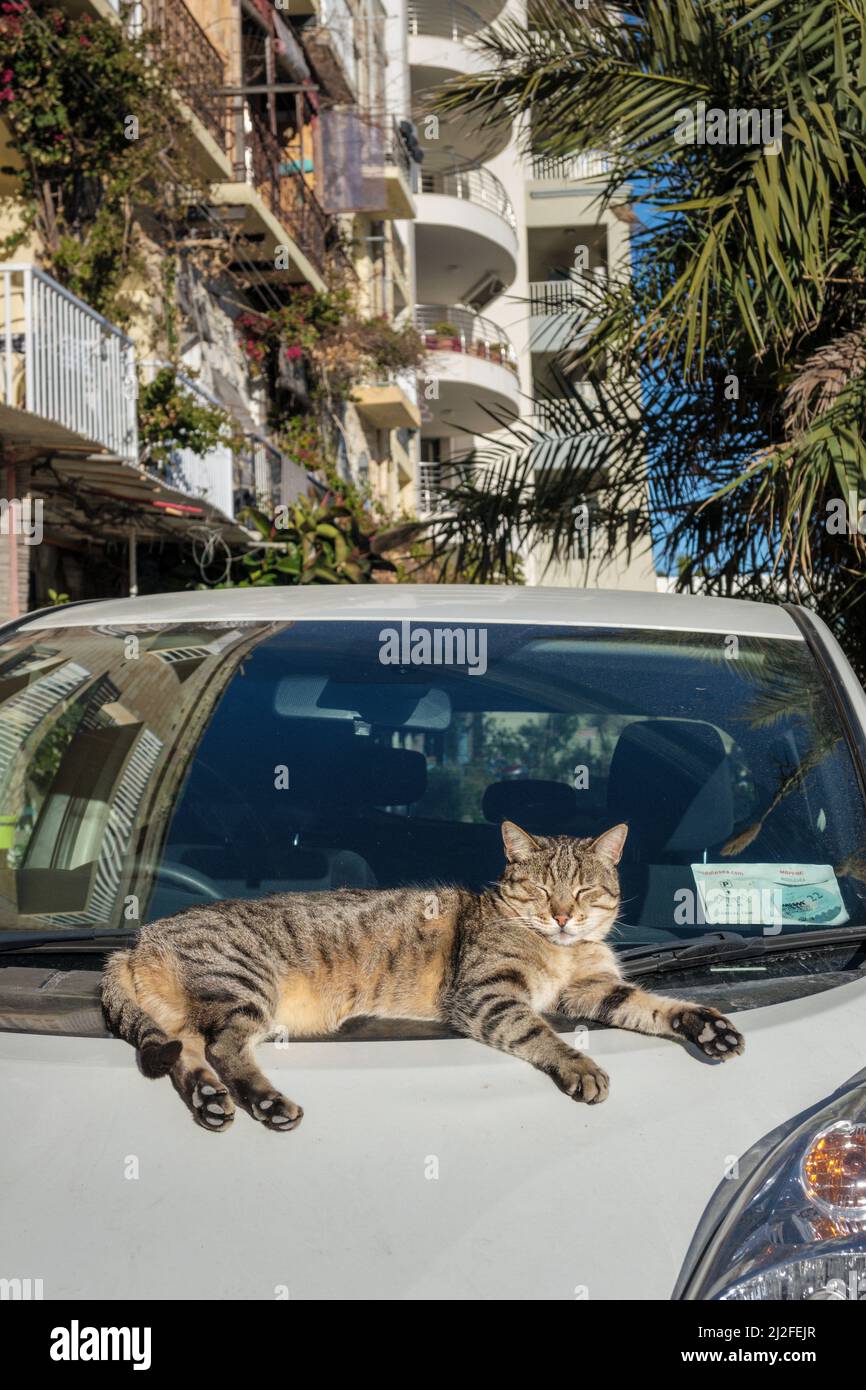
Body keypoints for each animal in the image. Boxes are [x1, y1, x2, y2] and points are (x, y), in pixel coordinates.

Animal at [103, 822, 745, 1128]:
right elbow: (541, 1033)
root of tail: (138, 941)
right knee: (223, 1046)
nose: (563, 914)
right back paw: (266, 1102)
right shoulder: (487, 995)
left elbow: (652, 1005)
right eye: (541, 890)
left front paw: (708, 1025)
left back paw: (212, 1100)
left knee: (188, 1052)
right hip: (245, 987)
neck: (561, 951)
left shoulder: (592, 989)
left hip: (193, 1014)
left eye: (585, 890)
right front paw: (581, 1066)